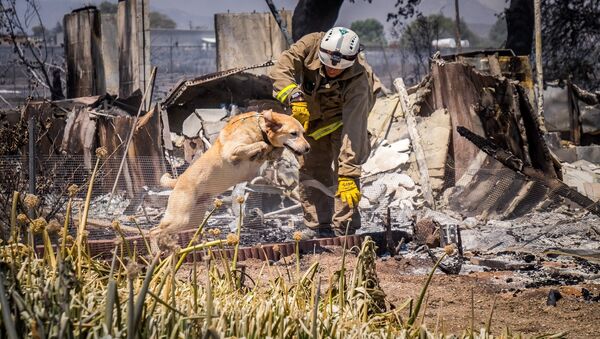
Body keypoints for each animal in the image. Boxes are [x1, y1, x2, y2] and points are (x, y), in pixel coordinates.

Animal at [152, 110, 310, 238]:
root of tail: (178, 181)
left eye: (303, 133)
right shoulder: (232, 151)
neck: (260, 129)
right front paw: (260, 150)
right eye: (293, 134)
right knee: (153, 232)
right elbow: (261, 145)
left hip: (192, 219)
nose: (308, 148)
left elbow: (273, 151)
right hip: (180, 218)